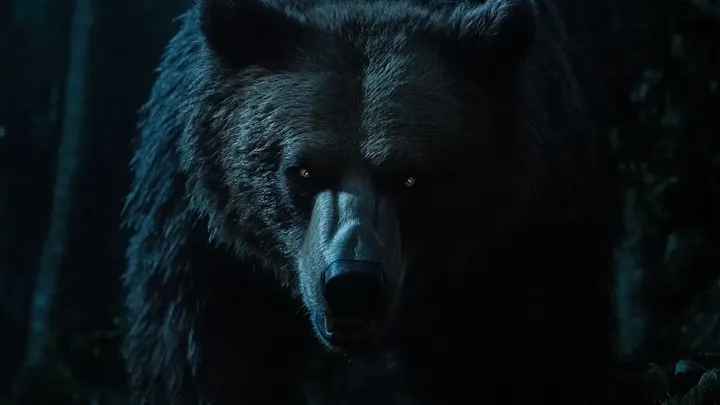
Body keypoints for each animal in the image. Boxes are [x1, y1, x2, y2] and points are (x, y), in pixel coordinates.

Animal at [122, 0, 622, 404]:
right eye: (302, 170)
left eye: (410, 177)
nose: (352, 284)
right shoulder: (207, 250)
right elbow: (196, 359)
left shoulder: (527, 241)